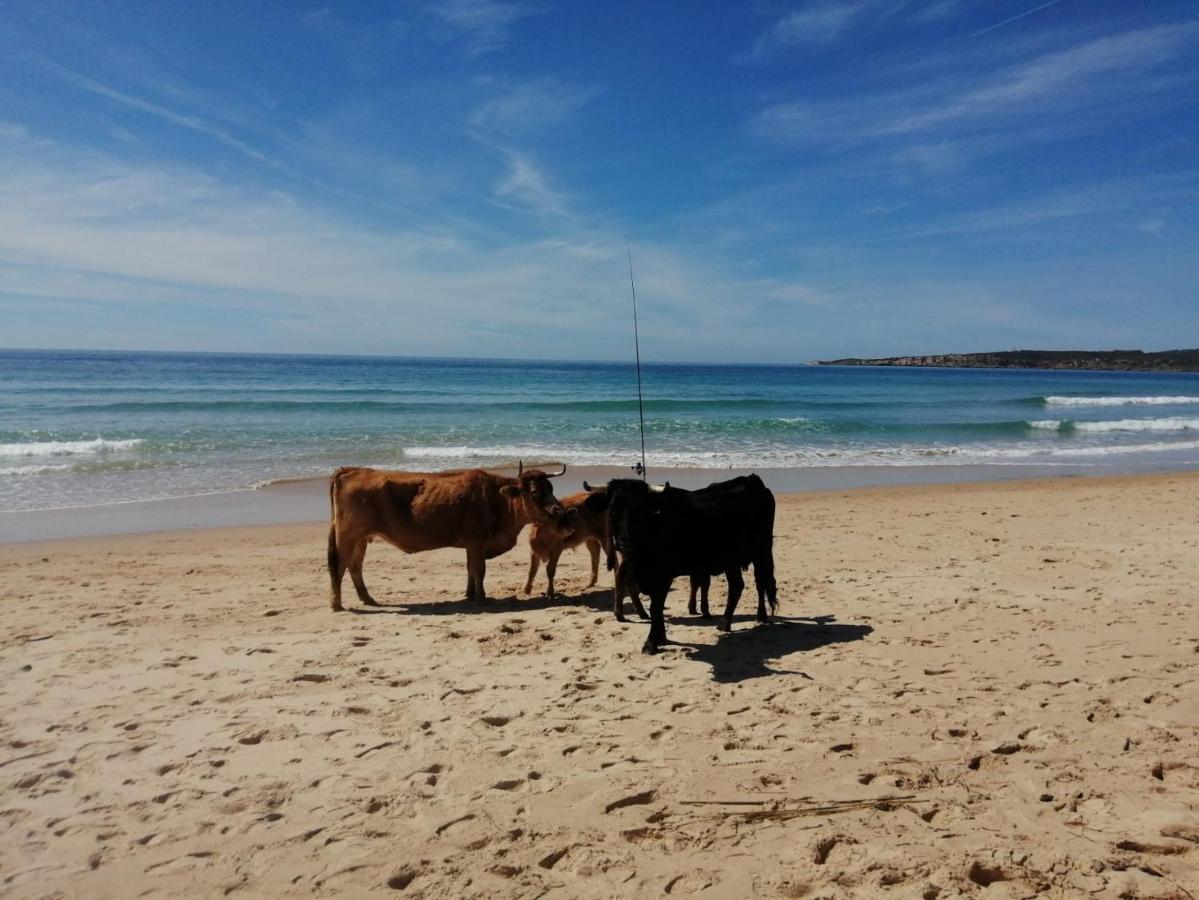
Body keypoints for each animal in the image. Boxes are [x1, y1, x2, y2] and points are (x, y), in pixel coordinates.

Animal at [326, 464, 568, 613]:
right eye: (535, 491)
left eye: (551, 487)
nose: (559, 509)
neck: (496, 499)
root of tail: (351, 470)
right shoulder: (477, 542)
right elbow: (479, 570)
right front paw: (481, 597)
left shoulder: (471, 545)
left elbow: (470, 569)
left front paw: (469, 595)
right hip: (347, 536)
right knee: (339, 566)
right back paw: (337, 604)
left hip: (361, 538)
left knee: (355, 566)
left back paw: (367, 599)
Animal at [582, 479, 776, 656]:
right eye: (612, 510)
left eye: (641, 510)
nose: (624, 543)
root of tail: (753, 480)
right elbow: (657, 609)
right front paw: (661, 638)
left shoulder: (663, 576)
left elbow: (656, 608)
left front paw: (652, 642)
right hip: (731, 561)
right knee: (737, 586)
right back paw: (726, 622)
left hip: (762, 550)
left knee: (760, 582)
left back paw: (760, 616)